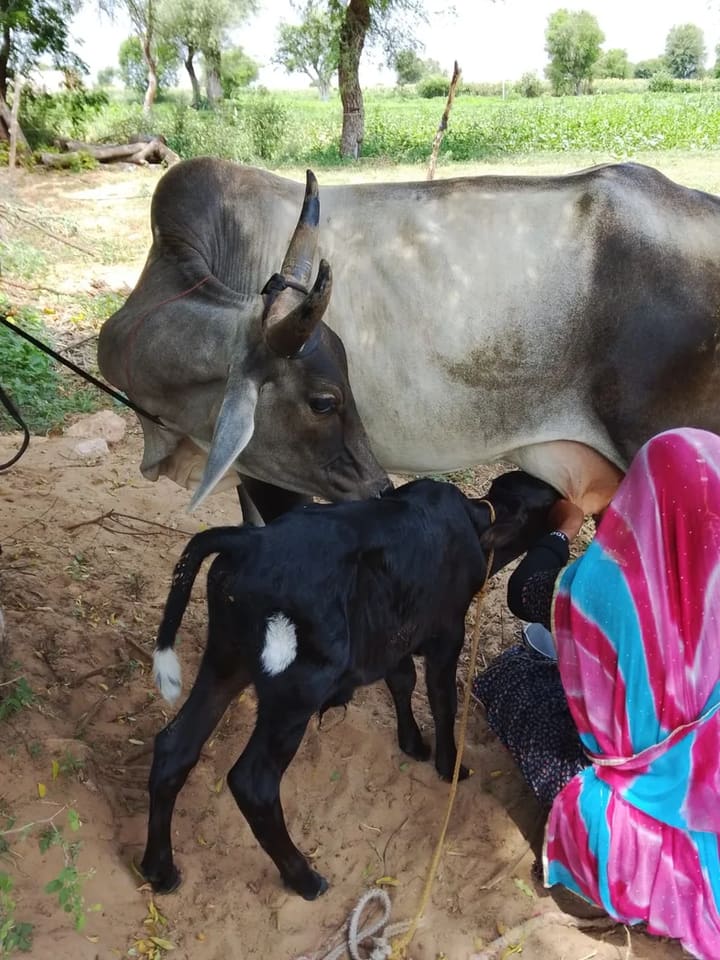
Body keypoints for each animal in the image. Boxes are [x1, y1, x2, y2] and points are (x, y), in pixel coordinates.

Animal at [139, 470, 559, 900]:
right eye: (549, 500)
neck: (476, 521)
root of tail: (251, 541)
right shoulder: (447, 632)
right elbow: (442, 700)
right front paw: (449, 765)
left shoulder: (395, 633)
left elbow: (402, 681)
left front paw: (412, 743)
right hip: (296, 692)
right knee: (253, 782)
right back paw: (304, 879)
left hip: (225, 663)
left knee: (175, 747)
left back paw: (160, 870)